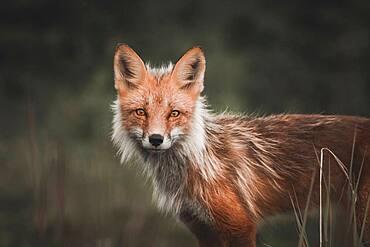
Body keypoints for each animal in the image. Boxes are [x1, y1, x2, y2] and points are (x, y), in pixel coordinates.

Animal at [110, 43, 370, 246]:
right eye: (141, 112)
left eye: (174, 113)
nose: (156, 139)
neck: (195, 162)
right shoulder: (202, 229)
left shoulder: (240, 225)